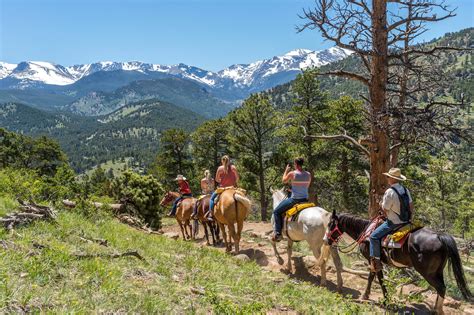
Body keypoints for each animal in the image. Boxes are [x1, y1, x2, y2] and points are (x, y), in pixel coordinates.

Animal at [328, 211, 472, 314]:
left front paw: (382, 299)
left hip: (428, 273)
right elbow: (373, 277)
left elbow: (377, 279)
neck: (366, 232)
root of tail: (439, 236)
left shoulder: (373, 259)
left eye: (330, 224)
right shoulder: (374, 261)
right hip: (438, 271)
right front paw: (369, 295)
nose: (327, 240)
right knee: (442, 288)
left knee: (440, 288)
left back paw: (436, 311)